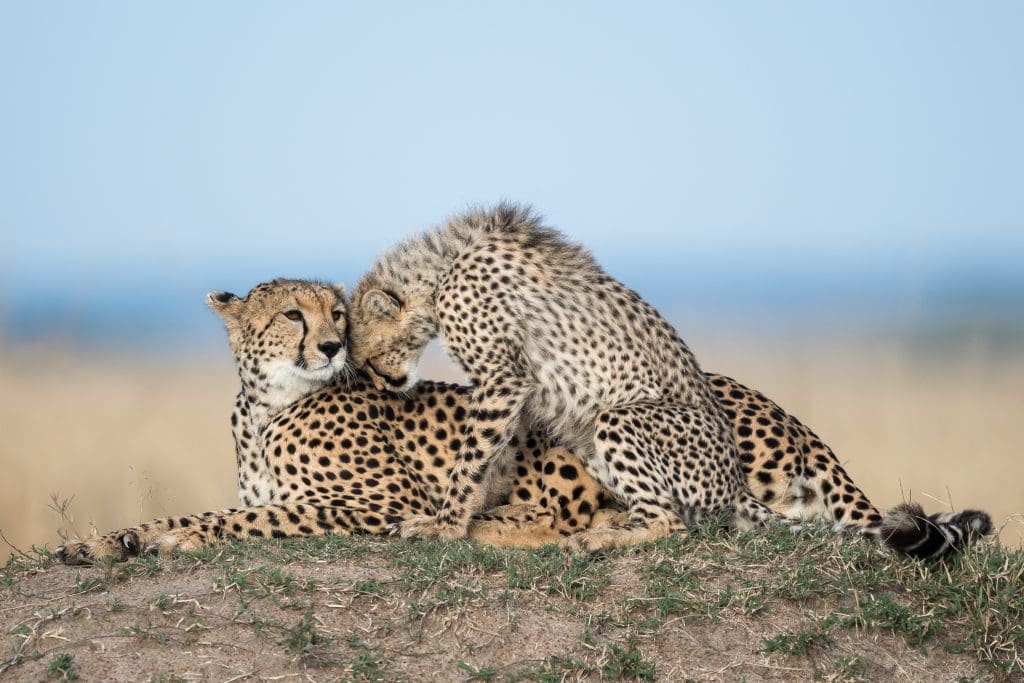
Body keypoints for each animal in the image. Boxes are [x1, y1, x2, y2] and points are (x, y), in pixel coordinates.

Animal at [346, 202, 991, 557]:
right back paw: (611, 520)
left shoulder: (504, 378)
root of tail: (734, 483)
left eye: (365, 354)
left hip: (618, 418)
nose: (384, 383)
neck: (443, 265)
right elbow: (491, 456)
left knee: (675, 525)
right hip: (594, 435)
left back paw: (604, 537)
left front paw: (444, 524)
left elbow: (471, 456)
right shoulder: (519, 392)